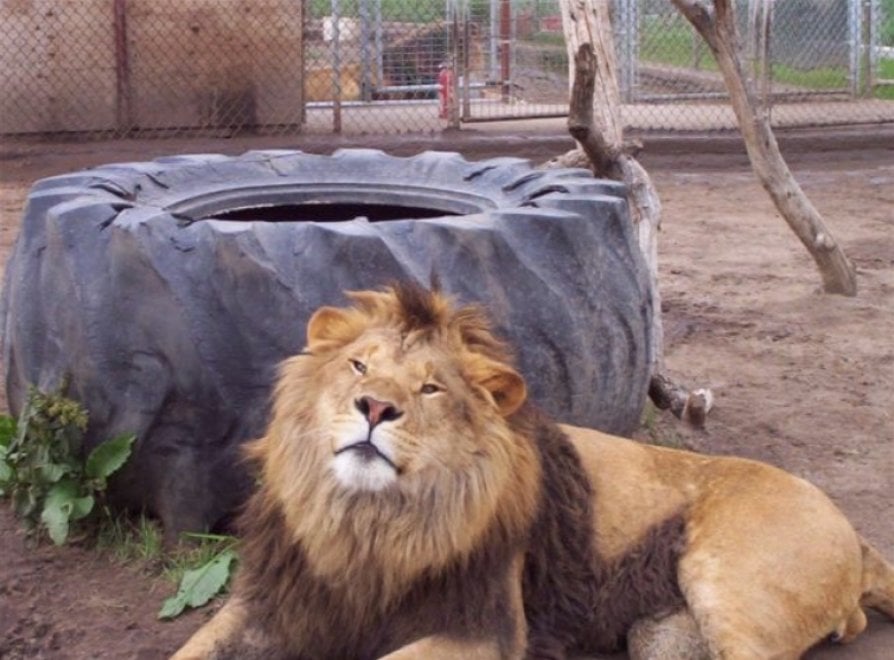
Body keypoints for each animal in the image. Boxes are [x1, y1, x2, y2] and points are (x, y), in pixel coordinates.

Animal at [172, 283, 894, 660]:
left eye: (431, 387)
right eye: (359, 366)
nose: (375, 407)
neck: (365, 522)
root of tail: (858, 539)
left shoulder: (482, 631)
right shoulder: (272, 605)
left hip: (731, 588)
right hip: (661, 636)